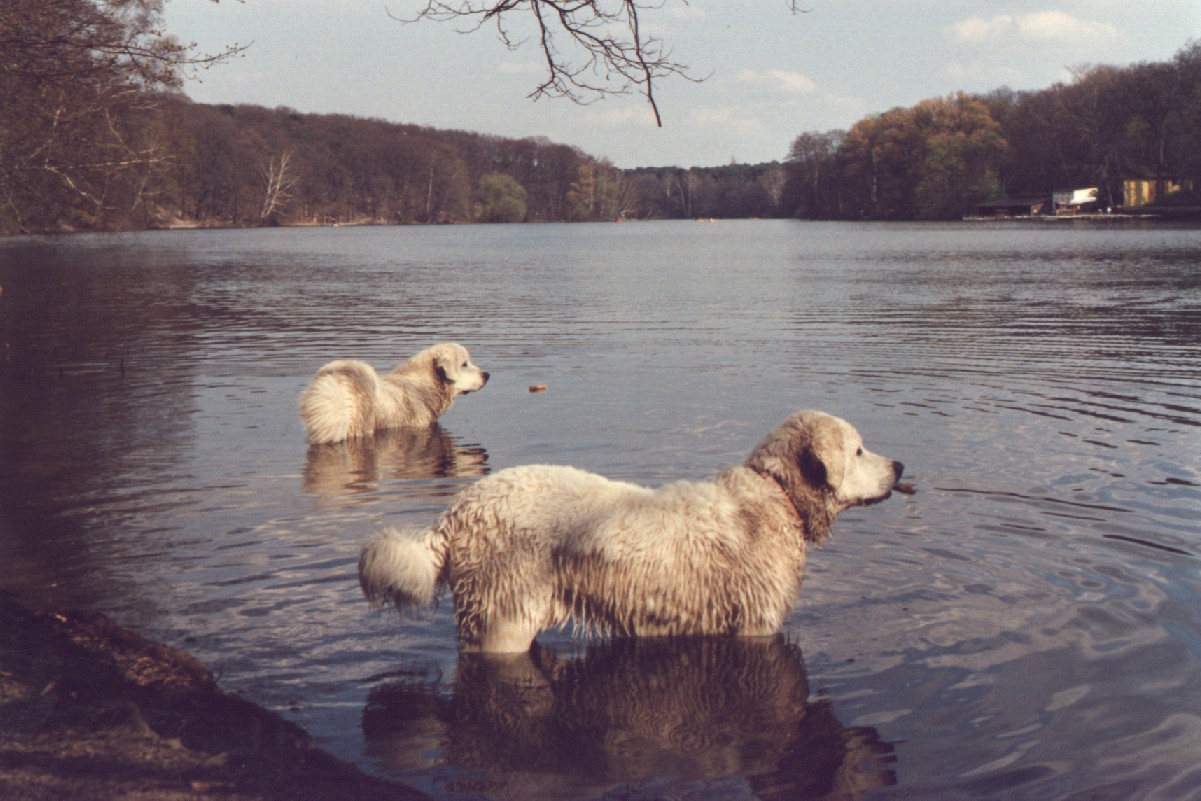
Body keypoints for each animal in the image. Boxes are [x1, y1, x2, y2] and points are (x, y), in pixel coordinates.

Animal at [357, 410, 907, 653]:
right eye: (858, 450)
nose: (900, 465)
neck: (778, 495)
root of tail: (458, 512)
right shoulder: (755, 624)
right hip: (504, 619)